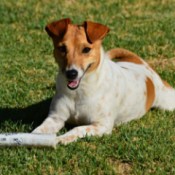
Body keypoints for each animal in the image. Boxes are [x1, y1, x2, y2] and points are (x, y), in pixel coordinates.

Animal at [32, 17, 175, 144]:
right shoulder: (55, 118)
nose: (71, 73)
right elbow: (40, 130)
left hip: (168, 101)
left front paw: (63, 138)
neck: (80, 91)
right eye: (62, 48)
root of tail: (139, 62)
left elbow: (78, 128)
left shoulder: (101, 125)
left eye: (86, 49)